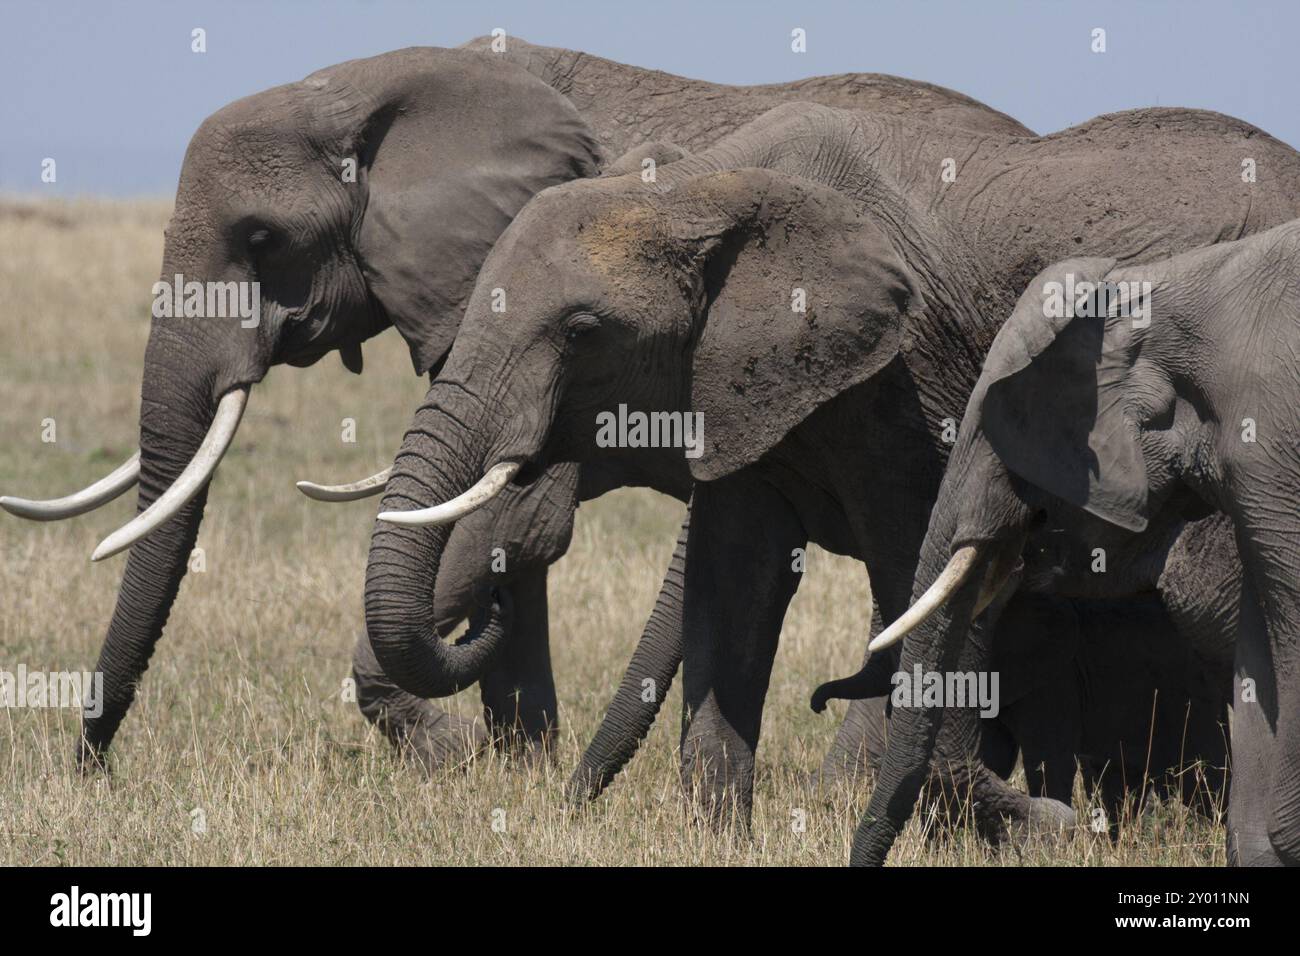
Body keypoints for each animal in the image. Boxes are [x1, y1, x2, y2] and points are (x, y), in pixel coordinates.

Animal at [0, 35, 1024, 770]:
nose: (90, 765)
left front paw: (466, 755)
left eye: (261, 238)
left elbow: (516, 518)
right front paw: (516, 763)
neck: (374, 87)